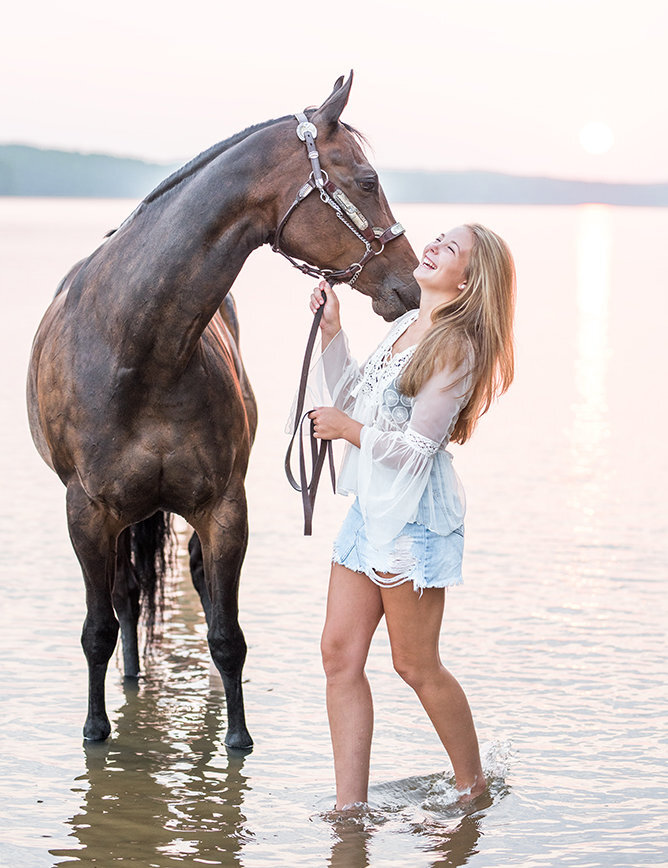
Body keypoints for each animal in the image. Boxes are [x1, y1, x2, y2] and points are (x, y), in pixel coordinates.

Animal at [30, 74, 422, 748]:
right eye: (368, 180)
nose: (412, 284)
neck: (137, 349)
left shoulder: (223, 509)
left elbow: (227, 634)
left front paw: (236, 739)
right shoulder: (87, 514)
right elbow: (98, 629)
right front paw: (95, 730)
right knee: (127, 597)